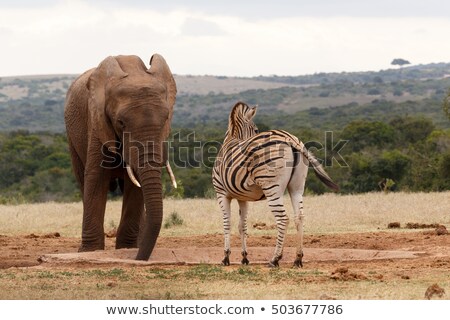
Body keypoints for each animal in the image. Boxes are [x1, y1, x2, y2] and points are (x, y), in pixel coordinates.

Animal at [65, 54, 178, 260]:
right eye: (121, 123)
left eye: (166, 119)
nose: (140, 259)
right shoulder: (97, 122)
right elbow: (96, 180)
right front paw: (90, 251)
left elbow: (135, 186)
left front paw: (126, 249)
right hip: (72, 140)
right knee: (83, 181)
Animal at [212, 102, 338, 268]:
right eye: (256, 130)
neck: (231, 140)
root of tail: (289, 138)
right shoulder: (243, 198)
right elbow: (242, 226)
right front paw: (244, 258)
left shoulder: (222, 193)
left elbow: (227, 224)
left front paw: (226, 257)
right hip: (296, 187)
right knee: (299, 217)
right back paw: (298, 258)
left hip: (272, 187)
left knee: (283, 219)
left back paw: (275, 259)